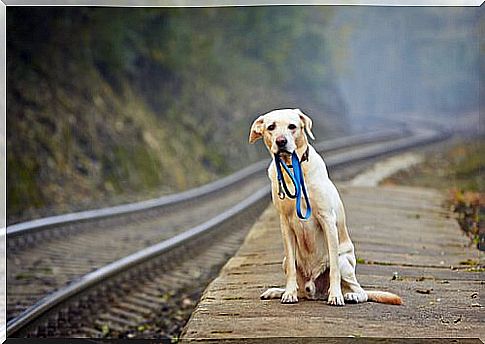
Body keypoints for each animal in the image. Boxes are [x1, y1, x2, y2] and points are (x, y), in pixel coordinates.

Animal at [250, 109, 400, 306]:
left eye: (292, 126)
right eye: (271, 127)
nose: (281, 141)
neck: (293, 168)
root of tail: (315, 291)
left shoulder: (327, 219)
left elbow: (334, 269)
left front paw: (335, 295)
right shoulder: (285, 223)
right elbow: (291, 268)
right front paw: (288, 293)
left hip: (345, 261)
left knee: (360, 290)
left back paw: (348, 295)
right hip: (286, 262)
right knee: (299, 284)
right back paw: (279, 291)